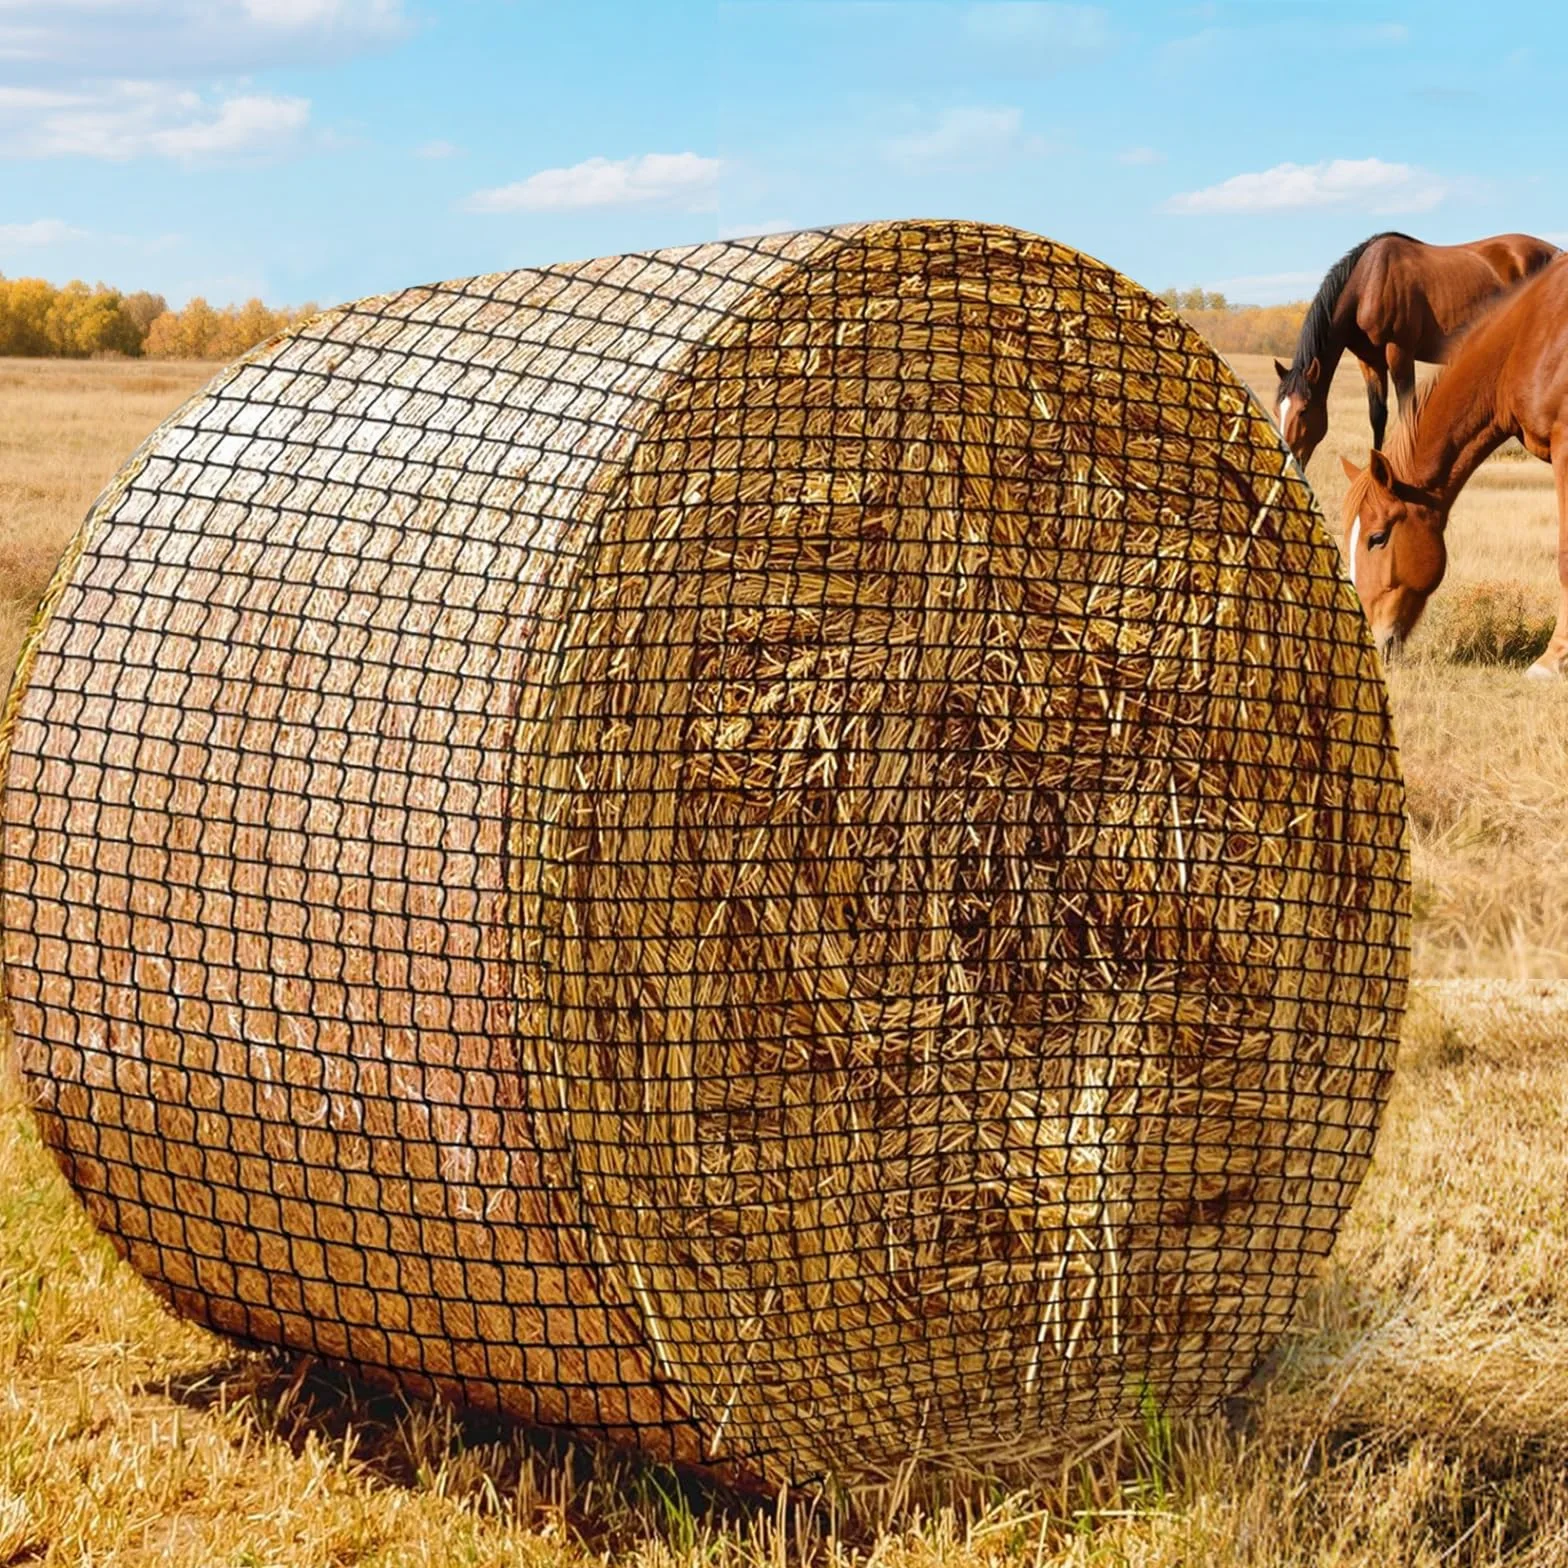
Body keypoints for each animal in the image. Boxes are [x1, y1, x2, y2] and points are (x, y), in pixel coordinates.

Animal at [1273, 230, 1559, 467]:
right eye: (1277, 410)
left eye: (1304, 410)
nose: (1289, 461)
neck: (1368, 283)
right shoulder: (1370, 360)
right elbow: (1378, 415)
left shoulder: (1399, 351)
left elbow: (1406, 410)